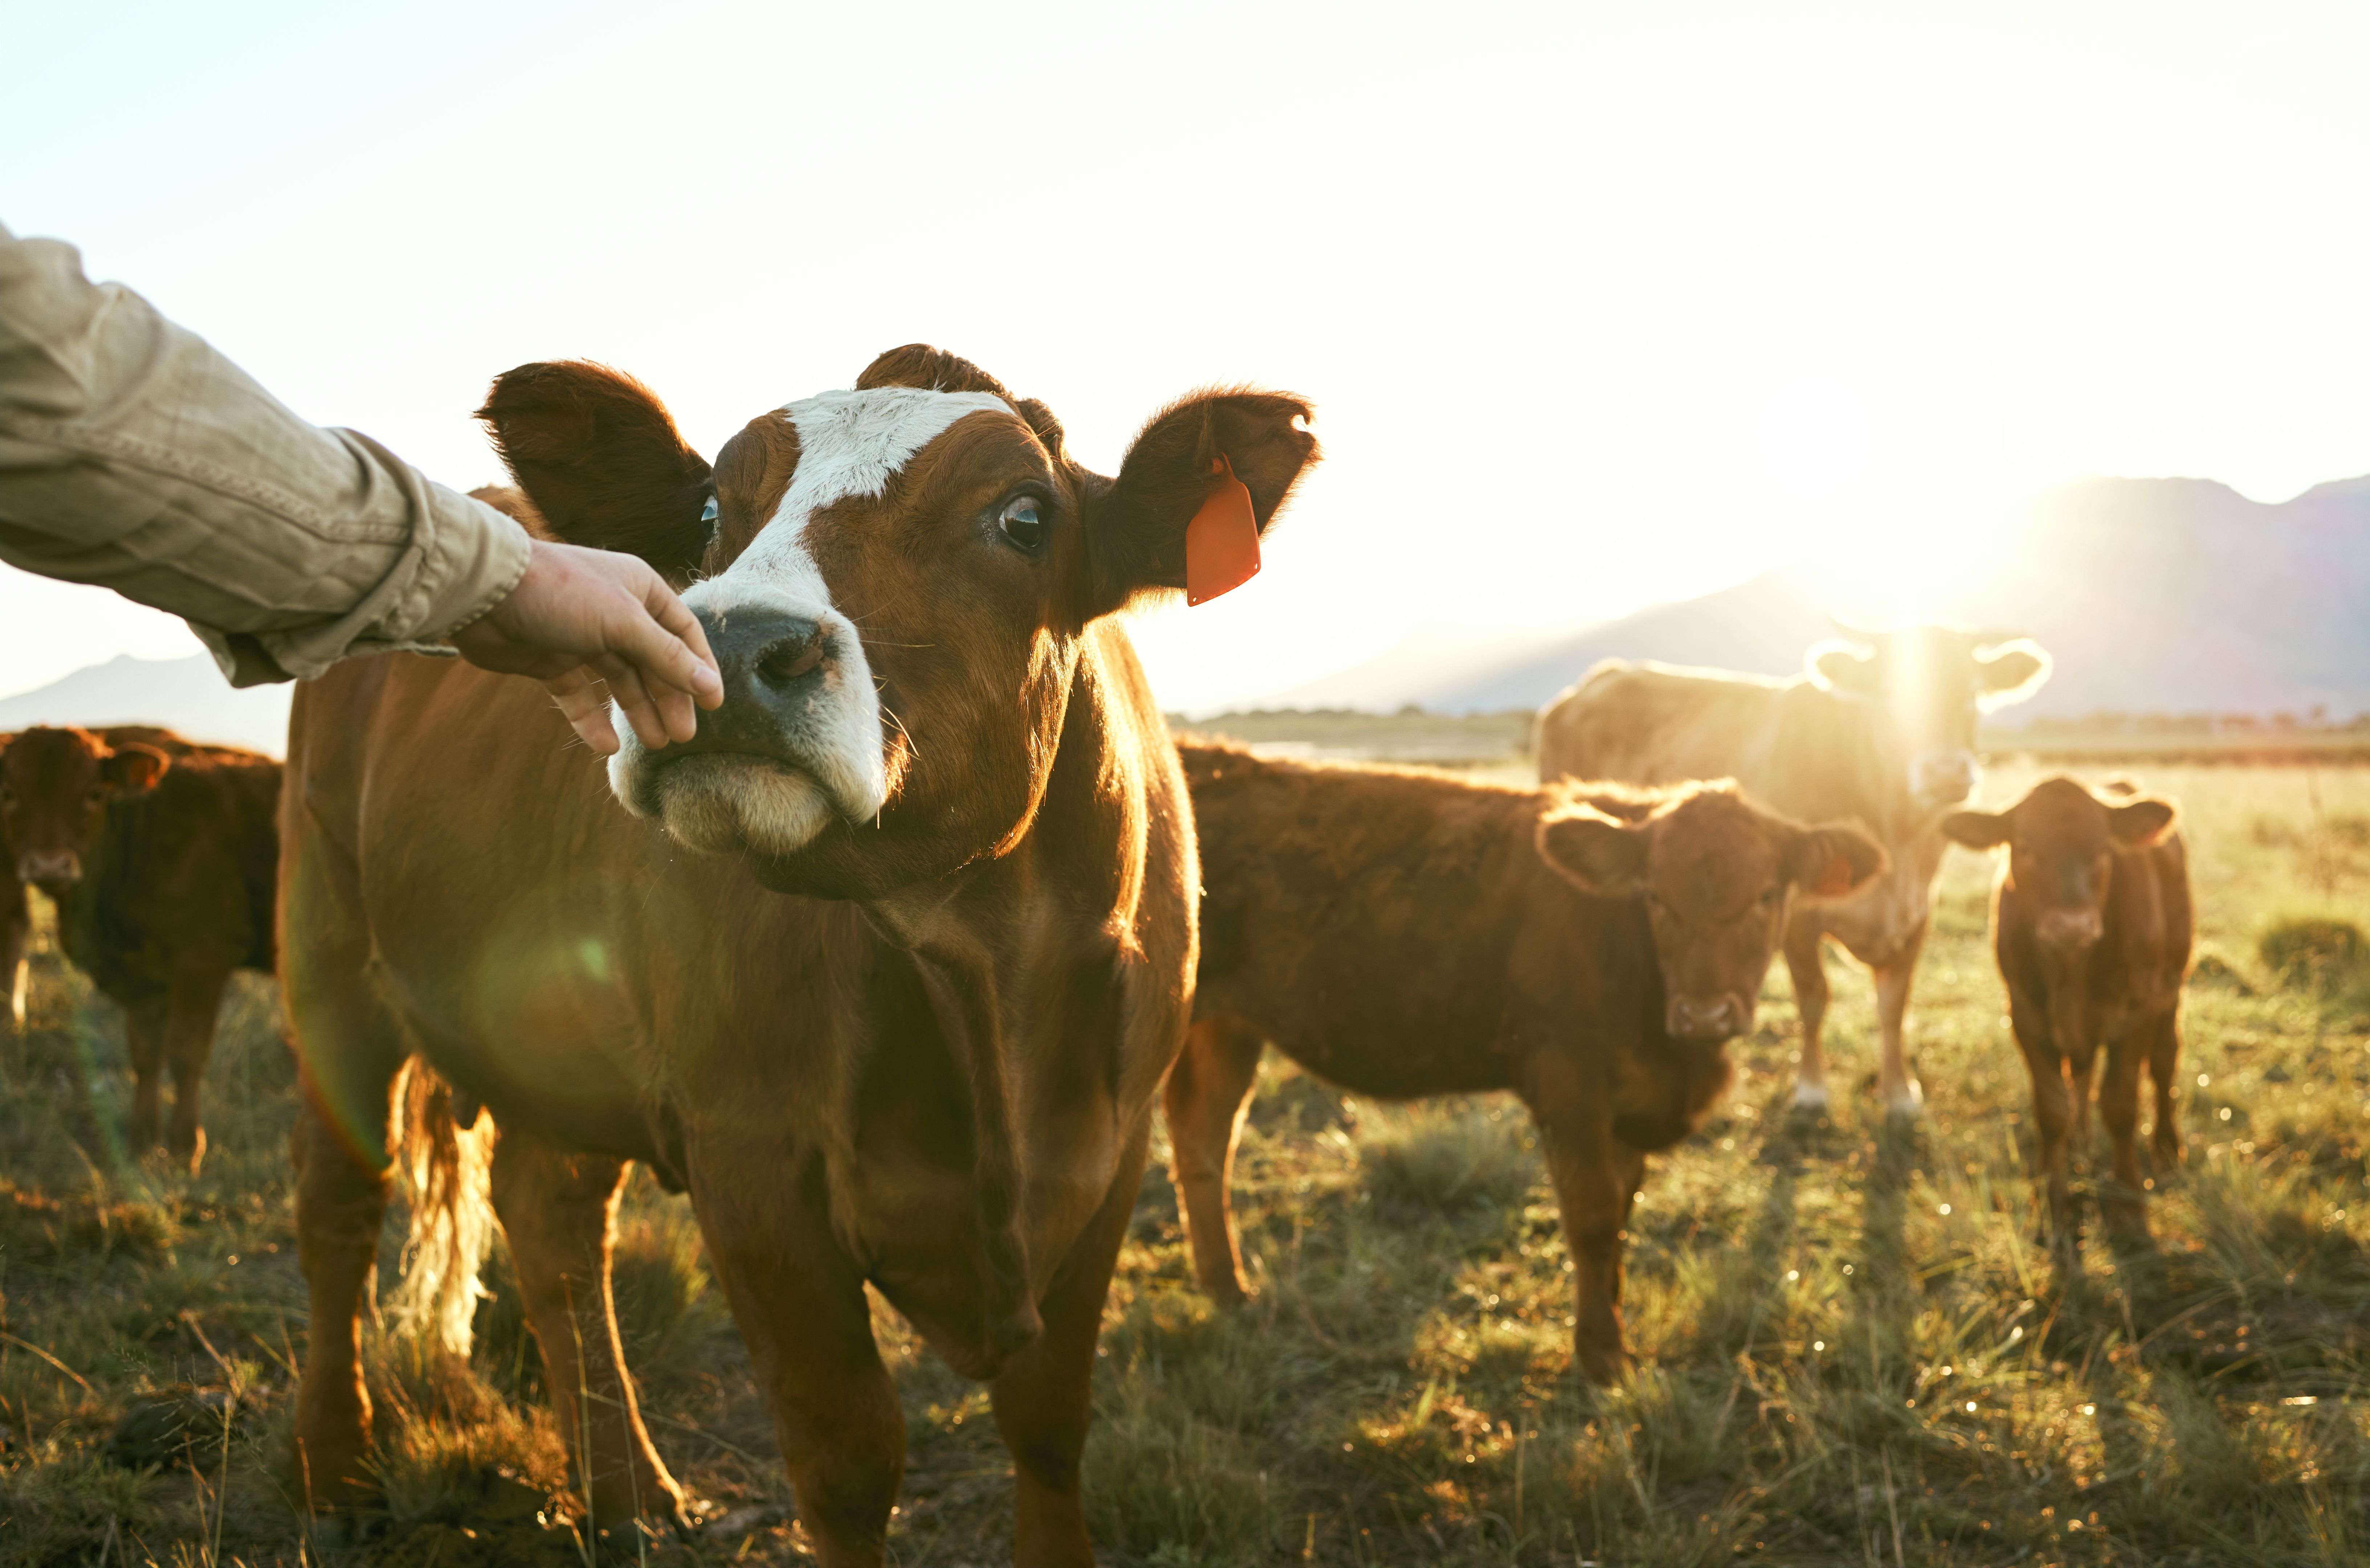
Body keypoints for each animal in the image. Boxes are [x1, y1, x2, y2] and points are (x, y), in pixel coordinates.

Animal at [0, 725, 279, 1163]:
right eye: (9, 792)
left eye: (94, 794)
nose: (49, 865)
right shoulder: (142, 978)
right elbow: (146, 1055)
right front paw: (142, 1141)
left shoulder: (201, 964)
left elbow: (185, 1054)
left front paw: (185, 1148)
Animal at [279, 347, 1316, 1566]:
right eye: (710, 513)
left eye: (1023, 517)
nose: (726, 645)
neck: (982, 981)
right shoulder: (752, 1159)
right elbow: (847, 1461)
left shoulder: (1111, 1150)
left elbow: (1050, 1419)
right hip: (328, 960)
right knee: (338, 1212)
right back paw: (338, 1476)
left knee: (552, 1222)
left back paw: (628, 1498)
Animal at [1162, 741, 1886, 1382]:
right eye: (1654, 896)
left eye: (1767, 895)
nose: (1705, 1014)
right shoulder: (1567, 1083)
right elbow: (1591, 1219)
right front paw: (1600, 1356)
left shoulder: (1628, 1102)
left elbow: (1622, 1213)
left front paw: (1610, 1327)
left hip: (1225, 1028)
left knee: (1204, 1143)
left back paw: (1228, 1290)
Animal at [1534, 624, 2051, 1116]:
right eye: (1887, 692)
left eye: (1974, 691)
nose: (1945, 771)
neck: (1896, 836)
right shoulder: (1798, 914)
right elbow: (1813, 998)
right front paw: (1811, 1091)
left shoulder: (1917, 914)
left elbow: (1893, 1006)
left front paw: (1900, 1094)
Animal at [1941, 778, 2190, 1243]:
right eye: (2024, 847)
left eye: (2103, 848)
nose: (2072, 925)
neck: (2070, 968)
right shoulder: (2024, 1013)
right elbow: (2052, 1109)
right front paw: (2050, 1205)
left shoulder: (2137, 1009)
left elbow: (2120, 1104)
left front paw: (2129, 1202)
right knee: (2082, 1073)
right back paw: (2078, 1141)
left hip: (2172, 984)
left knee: (2164, 1060)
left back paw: (2167, 1144)